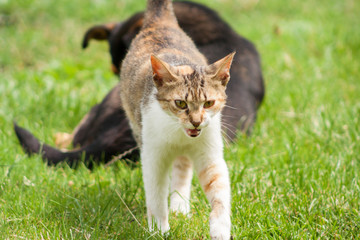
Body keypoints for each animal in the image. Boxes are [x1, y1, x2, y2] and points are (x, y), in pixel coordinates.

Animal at [119, 0, 235, 238]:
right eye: (180, 103)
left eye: (209, 103)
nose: (196, 121)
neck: (180, 135)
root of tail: (159, 21)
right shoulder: (153, 156)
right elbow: (156, 195)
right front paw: (159, 230)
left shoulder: (209, 153)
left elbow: (218, 190)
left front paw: (220, 228)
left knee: (182, 168)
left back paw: (180, 207)